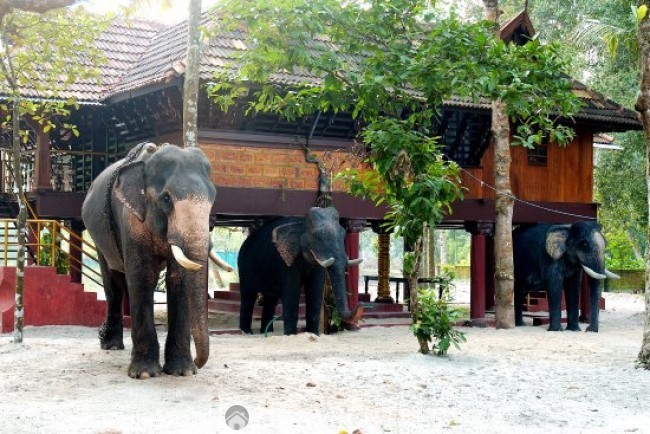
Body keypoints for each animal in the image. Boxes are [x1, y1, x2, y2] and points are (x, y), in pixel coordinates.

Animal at [235, 207, 362, 336]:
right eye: (316, 235)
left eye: (344, 235)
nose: (361, 304)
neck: (301, 223)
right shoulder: (286, 262)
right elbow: (292, 290)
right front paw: (290, 335)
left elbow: (315, 290)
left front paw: (313, 334)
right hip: (243, 266)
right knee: (248, 296)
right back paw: (247, 332)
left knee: (271, 299)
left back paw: (267, 332)